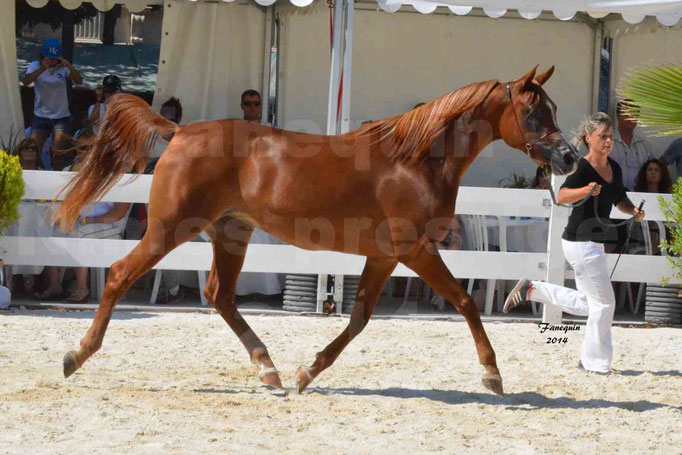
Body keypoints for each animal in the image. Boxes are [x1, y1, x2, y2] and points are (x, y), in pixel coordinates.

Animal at [54, 66, 572, 398]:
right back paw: (76, 356)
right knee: (121, 274)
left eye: (553, 109)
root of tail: (178, 131)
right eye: (534, 114)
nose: (568, 157)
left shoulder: (385, 256)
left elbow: (359, 319)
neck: (415, 161)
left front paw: (307, 373)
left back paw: (270, 370)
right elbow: (465, 302)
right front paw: (492, 375)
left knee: (220, 295)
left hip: (230, 233)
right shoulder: (415, 250)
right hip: (171, 229)